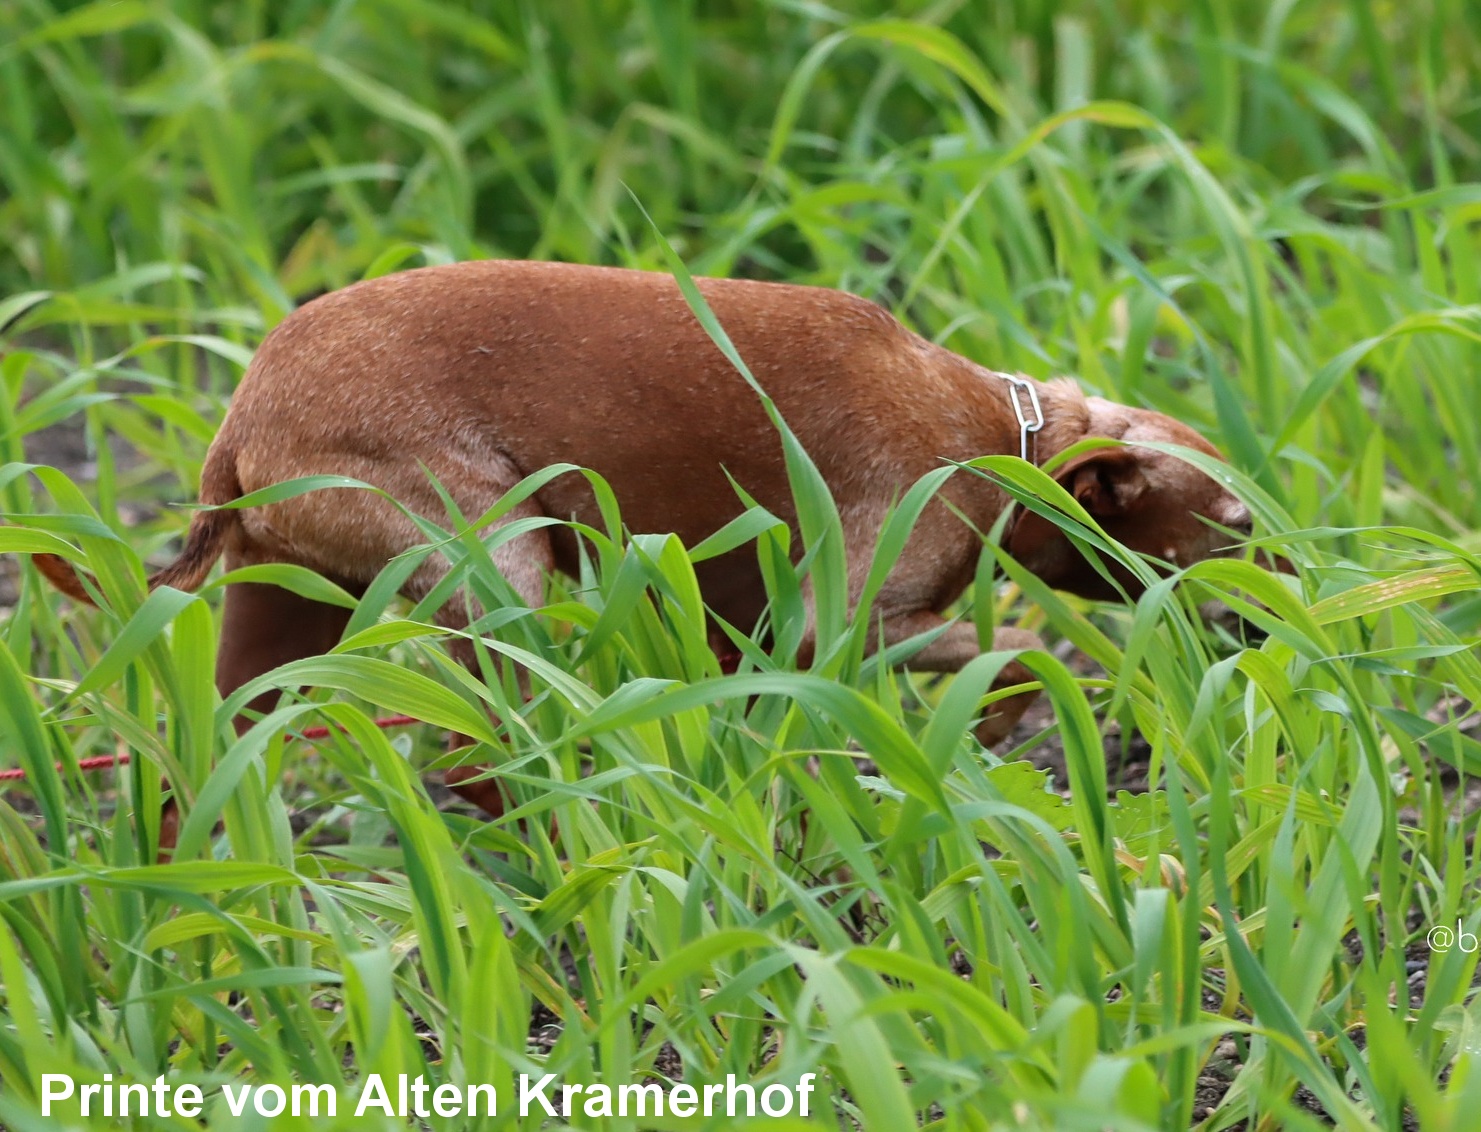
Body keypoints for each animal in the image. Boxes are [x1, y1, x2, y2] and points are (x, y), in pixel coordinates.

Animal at [34, 260, 1244, 829]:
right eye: (1236, 531)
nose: (1285, 600)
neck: (1004, 435)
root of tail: (240, 422)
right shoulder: (842, 623)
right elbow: (1010, 656)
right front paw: (1004, 715)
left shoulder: (747, 642)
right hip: (495, 560)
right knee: (474, 760)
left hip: (284, 620)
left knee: (200, 763)